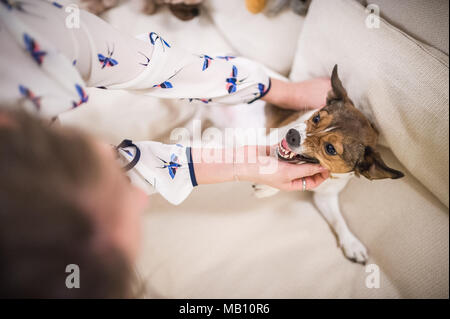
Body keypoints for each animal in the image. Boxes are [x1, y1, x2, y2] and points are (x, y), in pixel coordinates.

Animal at [253, 65, 404, 264]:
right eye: (316, 118)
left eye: (330, 148)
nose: (291, 134)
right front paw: (267, 186)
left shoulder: (326, 197)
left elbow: (338, 219)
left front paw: (351, 242)